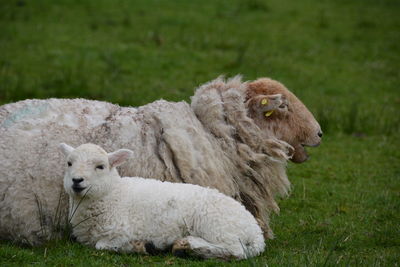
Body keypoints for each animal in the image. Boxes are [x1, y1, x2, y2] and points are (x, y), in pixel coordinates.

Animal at [59, 143, 266, 260]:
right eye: (69, 163)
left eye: (100, 166)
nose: (77, 180)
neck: (112, 195)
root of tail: (257, 234)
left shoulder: (122, 232)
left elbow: (101, 245)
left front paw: (139, 247)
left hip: (217, 225)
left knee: (236, 251)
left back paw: (191, 247)